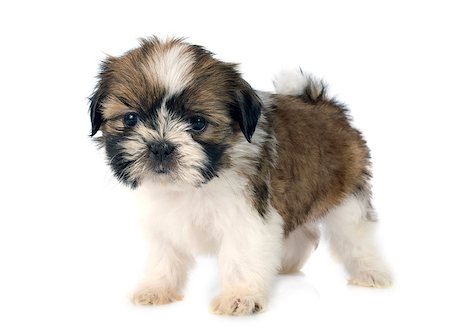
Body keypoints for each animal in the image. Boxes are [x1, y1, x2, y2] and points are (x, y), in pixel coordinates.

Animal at [88, 36, 390, 316]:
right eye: (130, 119)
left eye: (198, 123)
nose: (160, 146)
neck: (193, 185)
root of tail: (323, 104)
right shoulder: (162, 218)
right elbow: (164, 253)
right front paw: (156, 288)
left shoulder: (248, 215)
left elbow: (242, 256)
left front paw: (240, 297)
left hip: (347, 195)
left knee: (356, 233)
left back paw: (371, 272)